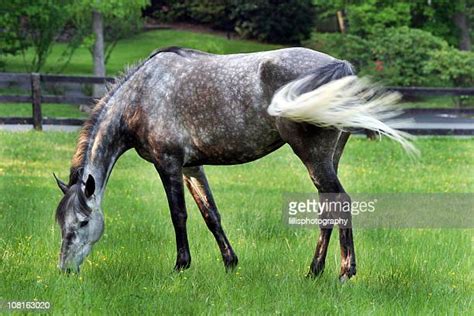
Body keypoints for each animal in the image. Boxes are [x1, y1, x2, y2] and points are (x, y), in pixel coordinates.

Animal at [54, 45, 414, 280]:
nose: (65, 270)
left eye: (83, 222)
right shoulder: (191, 167)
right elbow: (210, 214)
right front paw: (230, 263)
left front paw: (181, 266)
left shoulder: (168, 164)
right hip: (328, 159)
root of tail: (340, 66)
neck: (142, 95)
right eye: (61, 224)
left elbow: (179, 215)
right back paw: (314, 271)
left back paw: (343, 272)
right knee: (328, 207)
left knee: (340, 202)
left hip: (314, 158)